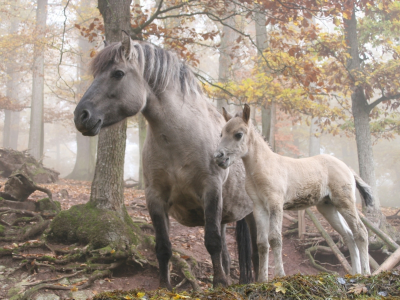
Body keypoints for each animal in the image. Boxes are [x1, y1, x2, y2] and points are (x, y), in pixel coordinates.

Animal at [74, 33, 258, 288]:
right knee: (227, 253)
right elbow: (163, 246)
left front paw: (219, 284)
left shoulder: (211, 190)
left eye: (118, 73)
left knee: (258, 252)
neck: (179, 141)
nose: (81, 116)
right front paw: (165, 286)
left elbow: (211, 241)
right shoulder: (155, 197)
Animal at [214, 104, 374, 282]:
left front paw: (280, 275)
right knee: (348, 236)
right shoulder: (259, 207)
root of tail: (347, 168)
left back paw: (366, 273)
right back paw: (355, 274)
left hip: (345, 202)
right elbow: (262, 243)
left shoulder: (275, 204)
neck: (263, 167)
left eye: (238, 134)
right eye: (221, 134)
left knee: (361, 232)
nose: (218, 157)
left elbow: (275, 239)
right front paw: (262, 280)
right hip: (328, 207)